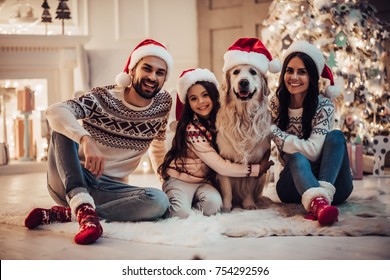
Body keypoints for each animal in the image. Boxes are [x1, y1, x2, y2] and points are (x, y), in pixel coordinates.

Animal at [216, 64, 272, 212]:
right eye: (236, 72)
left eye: (253, 72)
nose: (243, 82)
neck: (243, 117)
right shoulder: (225, 160)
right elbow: (227, 190)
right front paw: (226, 207)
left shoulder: (256, 161)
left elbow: (249, 187)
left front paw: (248, 204)